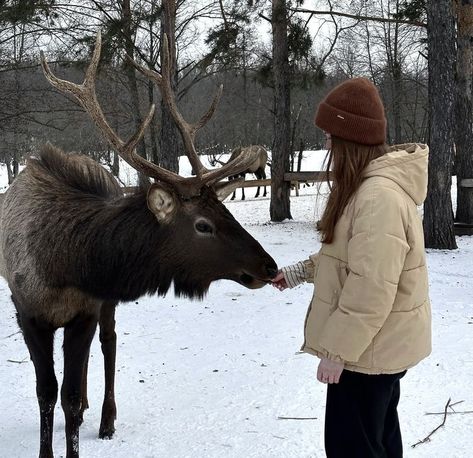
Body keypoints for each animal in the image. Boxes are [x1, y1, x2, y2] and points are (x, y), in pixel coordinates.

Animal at [0, 34, 276, 458]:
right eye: (204, 225)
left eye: (224, 210)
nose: (269, 265)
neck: (63, 262)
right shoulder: (26, 311)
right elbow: (46, 392)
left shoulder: (86, 309)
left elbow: (67, 395)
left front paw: (81, 423)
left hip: (105, 307)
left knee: (108, 345)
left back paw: (105, 418)